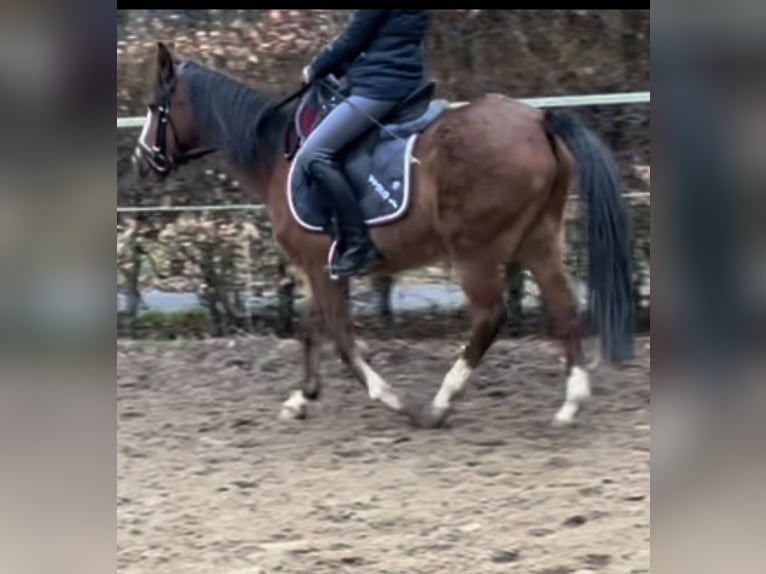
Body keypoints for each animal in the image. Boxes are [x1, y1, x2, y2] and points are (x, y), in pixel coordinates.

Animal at [132, 42, 636, 430]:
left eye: (156, 108)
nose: (141, 161)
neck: (276, 154)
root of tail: (538, 121)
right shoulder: (321, 266)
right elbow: (311, 328)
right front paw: (302, 397)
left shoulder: (319, 266)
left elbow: (338, 335)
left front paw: (389, 397)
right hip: (540, 238)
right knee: (564, 307)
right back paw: (570, 403)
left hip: (474, 250)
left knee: (490, 316)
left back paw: (438, 404)